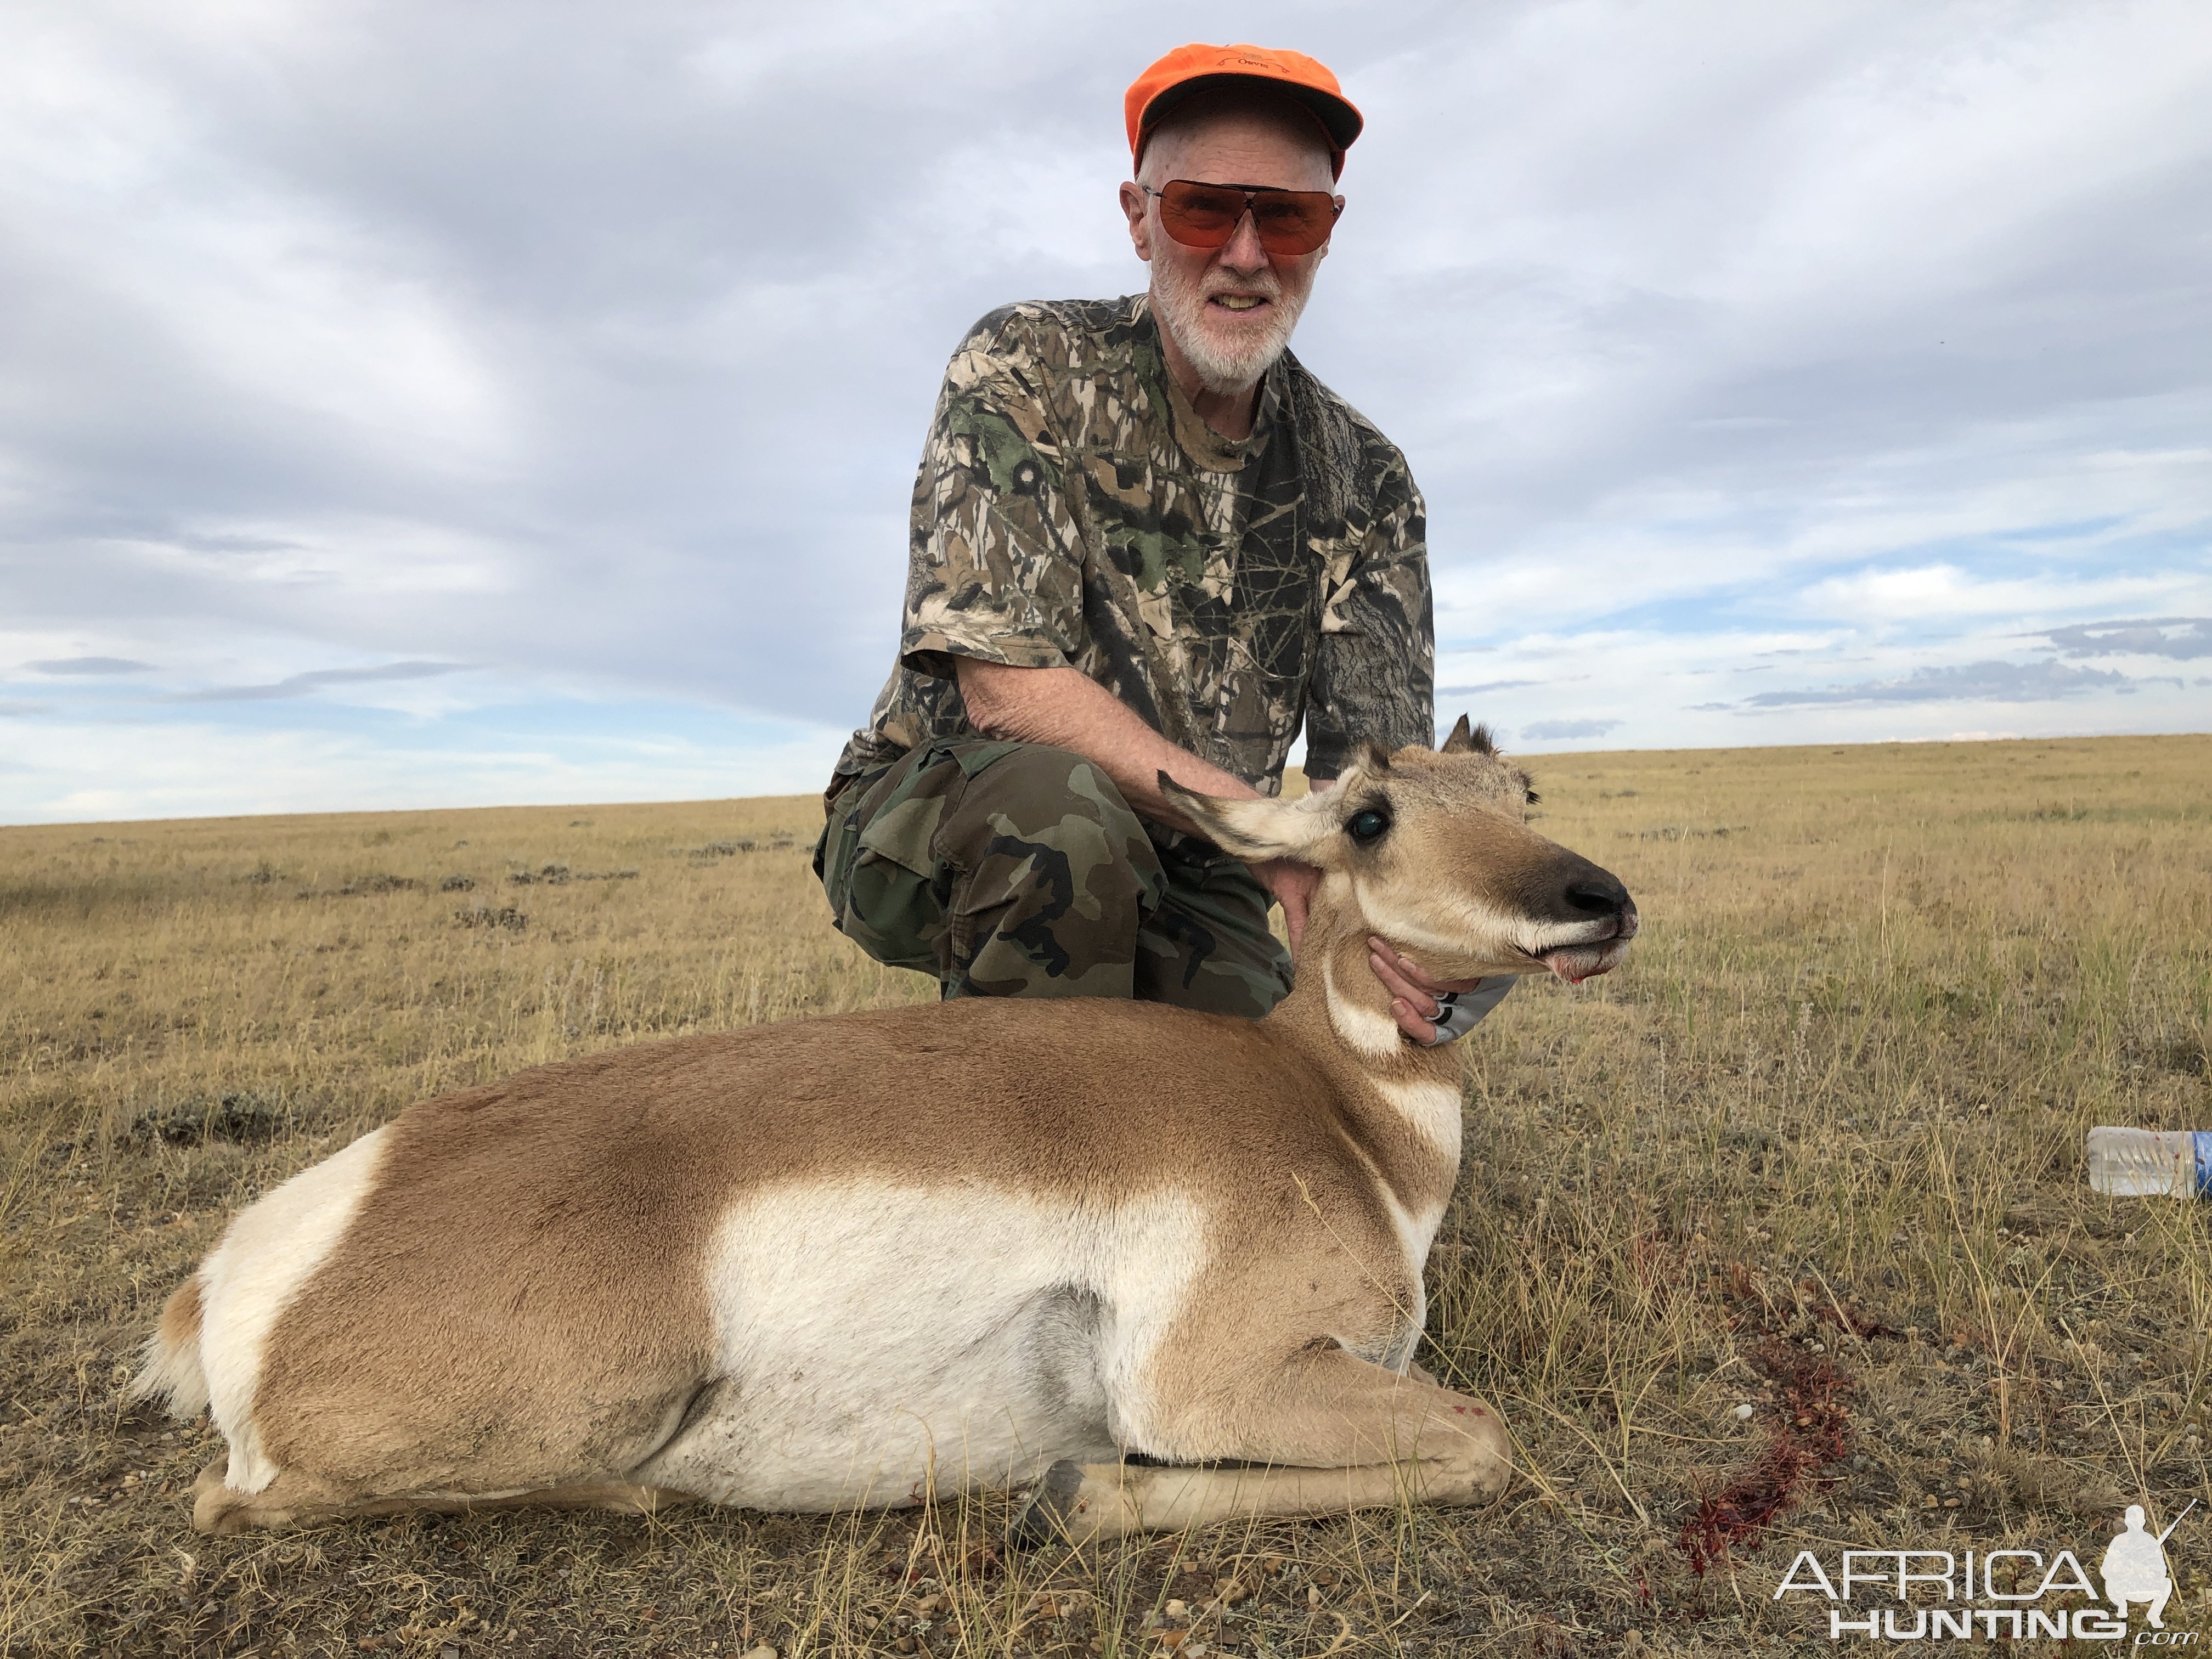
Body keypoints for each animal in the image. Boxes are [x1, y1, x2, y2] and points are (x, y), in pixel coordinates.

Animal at [133, 721, 1628, 1557]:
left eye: (1524, 794)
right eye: (1372, 817)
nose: (1595, 901)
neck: (1329, 1108)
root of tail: (247, 1260)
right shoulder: (1208, 1385)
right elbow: (1482, 1440)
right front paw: (1076, 1498)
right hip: (593, 1404)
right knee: (235, 1506)